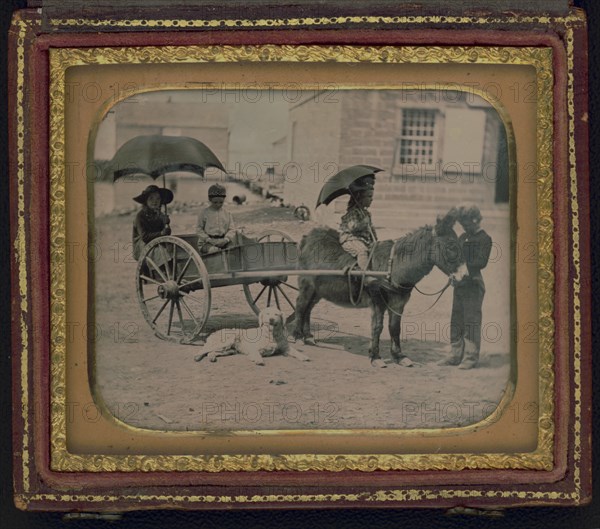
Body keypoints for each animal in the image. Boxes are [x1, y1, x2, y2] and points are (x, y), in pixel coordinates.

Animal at [292, 207, 466, 368]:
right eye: (450, 248)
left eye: (460, 246)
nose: (464, 277)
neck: (392, 267)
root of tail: (309, 236)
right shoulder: (377, 301)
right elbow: (377, 327)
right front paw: (375, 357)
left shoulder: (398, 303)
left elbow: (395, 327)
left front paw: (399, 357)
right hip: (307, 285)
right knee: (300, 305)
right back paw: (297, 337)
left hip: (318, 291)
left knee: (308, 308)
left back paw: (308, 337)